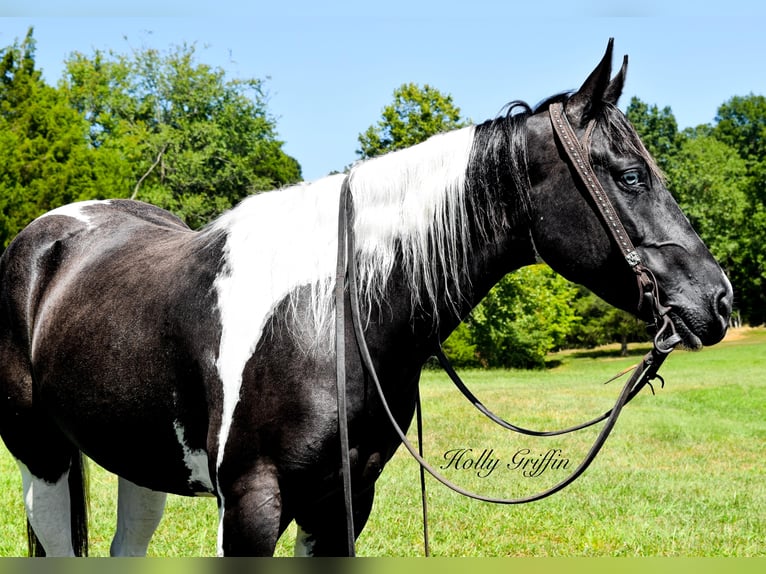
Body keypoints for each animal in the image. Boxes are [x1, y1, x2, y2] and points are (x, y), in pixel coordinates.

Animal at [0, 39, 732, 560]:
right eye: (631, 175)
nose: (719, 300)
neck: (327, 320)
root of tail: (47, 236)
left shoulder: (343, 503)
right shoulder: (251, 506)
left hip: (137, 460)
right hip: (43, 457)